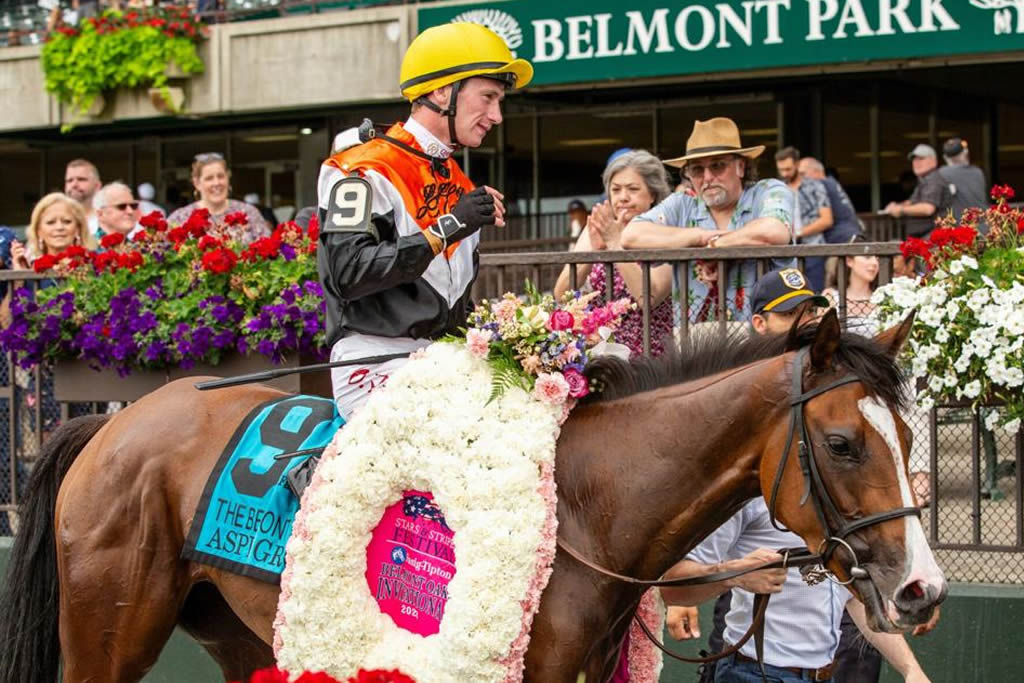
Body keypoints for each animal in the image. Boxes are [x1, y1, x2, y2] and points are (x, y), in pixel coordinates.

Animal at [0, 311, 942, 683]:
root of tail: (110, 426)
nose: (921, 589)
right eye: (843, 442)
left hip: (232, 629)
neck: (587, 503)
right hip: (108, 634)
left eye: (908, 437)